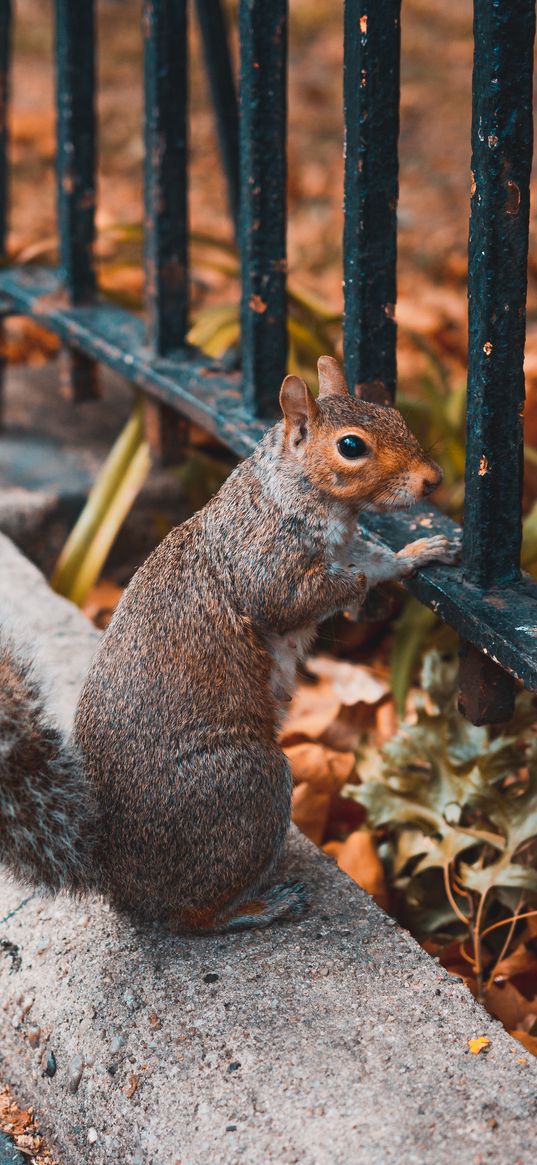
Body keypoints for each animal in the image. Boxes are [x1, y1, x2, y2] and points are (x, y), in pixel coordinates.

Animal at [0, 358, 456, 932]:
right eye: (352, 446)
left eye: (393, 414)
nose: (433, 479)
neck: (288, 492)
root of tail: (115, 873)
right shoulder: (265, 566)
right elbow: (314, 590)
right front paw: (382, 568)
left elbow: (367, 557)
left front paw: (416, 550)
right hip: (248, 785)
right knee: (191, 915)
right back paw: (259, 907)